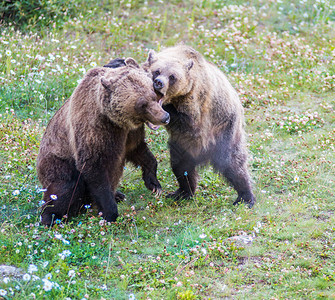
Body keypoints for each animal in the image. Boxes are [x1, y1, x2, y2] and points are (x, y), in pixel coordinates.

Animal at [36, 57, 171, 224]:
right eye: (142, 104)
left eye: (153, 95)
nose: (165, 117)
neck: (116, 121)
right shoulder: (94, 129)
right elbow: (95, 167)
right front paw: (110, 213)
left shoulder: (130, 133)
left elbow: (139, 150)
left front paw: (154, 184)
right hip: (56, 162)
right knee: (65, 186)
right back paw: (50, 217)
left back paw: (118, 194)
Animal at [143, 45, 256, 209]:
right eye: (156, 71)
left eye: (172, 76)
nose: (159, 83)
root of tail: (204, 155)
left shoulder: (197, 102)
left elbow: (188, 121)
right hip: (182, 147)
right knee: (181, 168)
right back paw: (182, 192)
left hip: (224, 132)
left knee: (234, 165)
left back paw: (245, 197)